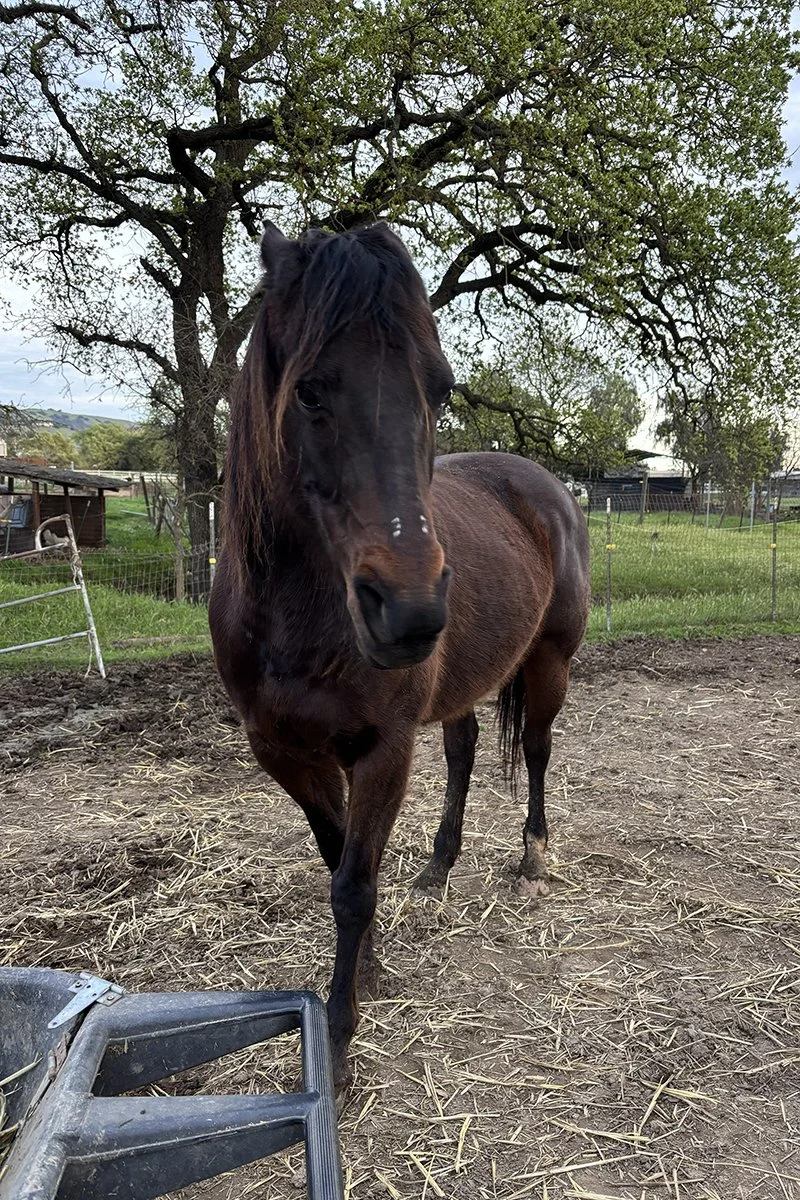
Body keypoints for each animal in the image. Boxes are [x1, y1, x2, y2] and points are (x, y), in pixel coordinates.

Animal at [209, 221, 590, 1091]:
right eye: (309, 391)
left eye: (441, 388)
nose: (411, 610)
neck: (299, 619)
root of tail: (544, 485)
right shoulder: (285, 752)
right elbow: (338, 858)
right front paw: (372, 964)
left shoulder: (382, 749)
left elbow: (352, 884)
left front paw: (342, 1035)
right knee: (464, 753)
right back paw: (438, 869)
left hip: (549, 665)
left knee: (539, 751)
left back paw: (534, 856)